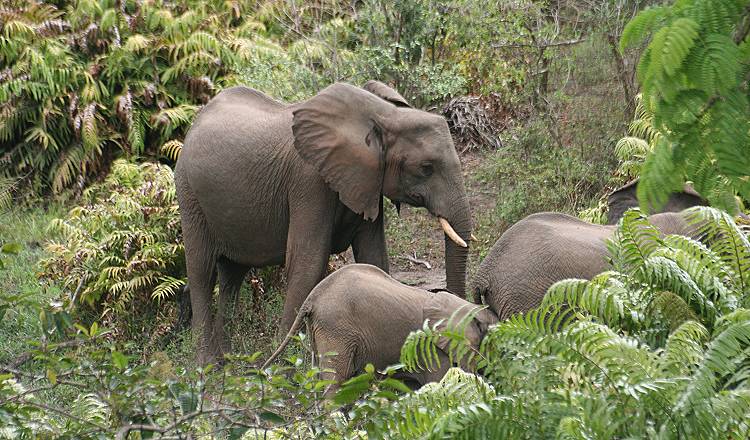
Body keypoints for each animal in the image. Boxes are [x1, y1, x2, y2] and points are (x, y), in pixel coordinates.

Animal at [173, 81, 472, 362]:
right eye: (426, 168)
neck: (383, 114)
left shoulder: (365, 182)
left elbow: (374, 257)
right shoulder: (308, 180)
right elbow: (308, 260)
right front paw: (285, 364)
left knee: (232, 275)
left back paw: (228, 360)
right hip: (188, 193)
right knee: (202, 271)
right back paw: (207, 365)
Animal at [262, 262, 500, 398]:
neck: (468, 308)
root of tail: (312, 296)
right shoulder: (432, 348)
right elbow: (438, 381)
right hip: (336, 328)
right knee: (336, 380)